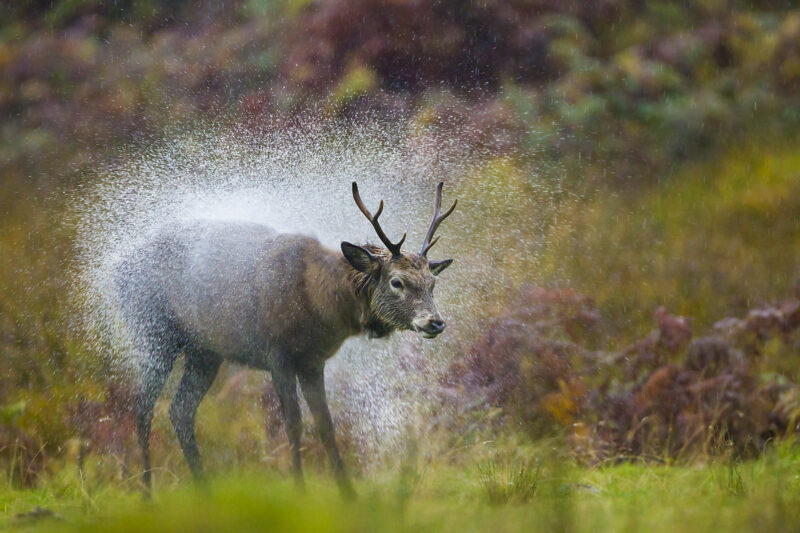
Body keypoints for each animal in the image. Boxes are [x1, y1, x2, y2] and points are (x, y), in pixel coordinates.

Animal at [115, 181, 460, 496]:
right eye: (396, 282)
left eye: (432, 283)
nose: (436, 322)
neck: (319, 305)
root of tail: (116, 272)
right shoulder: (277, 353)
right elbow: (293, 422)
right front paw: (299, 489)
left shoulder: (312, 361)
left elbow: (325, 423)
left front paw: (348, 493)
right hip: (153, 332)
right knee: (143, 407)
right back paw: (147, 490)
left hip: (205, 352)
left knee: (180, 410)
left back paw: (203, 488)